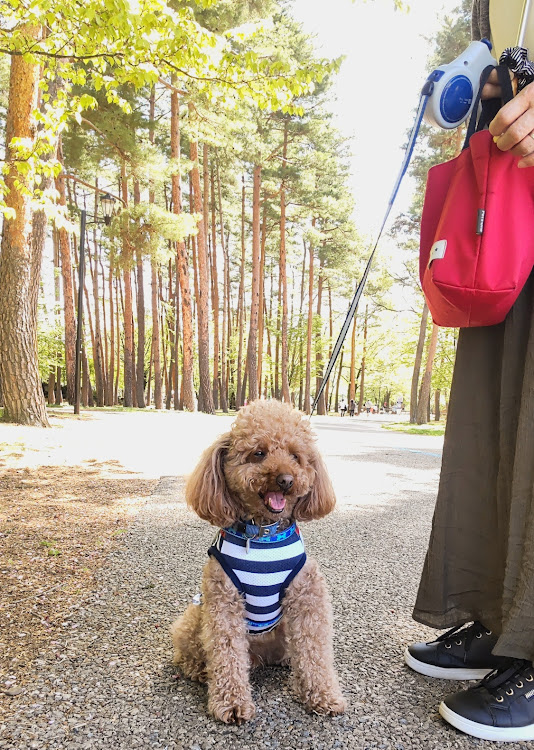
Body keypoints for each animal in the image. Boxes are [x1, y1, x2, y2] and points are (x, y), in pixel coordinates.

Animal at [172, 402, 348, 724]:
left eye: (295, 456)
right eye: (258, 453)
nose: (286, 480)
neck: (263, 534)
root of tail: (260, 656)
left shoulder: (307, 596)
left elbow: (314, 650)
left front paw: (323, 696)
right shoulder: (222, 602)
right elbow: (226, 653)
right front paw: (231, 704)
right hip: (193, 617)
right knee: (194, 654)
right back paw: (201, 670)